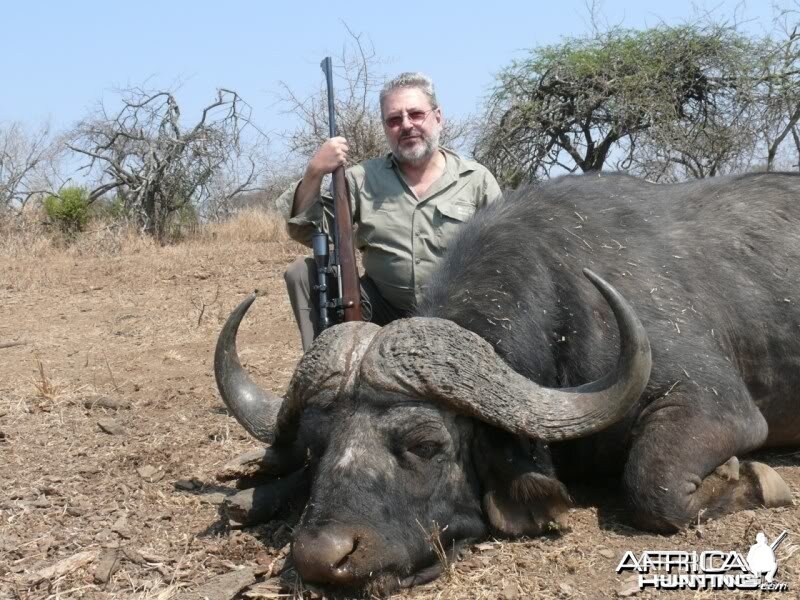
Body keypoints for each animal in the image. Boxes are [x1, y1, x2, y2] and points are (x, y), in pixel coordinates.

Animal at [216, 172, 796, 596]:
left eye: (426, 445)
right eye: (317, 446)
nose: (320, 557)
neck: (566, 304)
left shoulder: (718, 407)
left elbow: (654, 486)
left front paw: (753, 479)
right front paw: (253, 490)